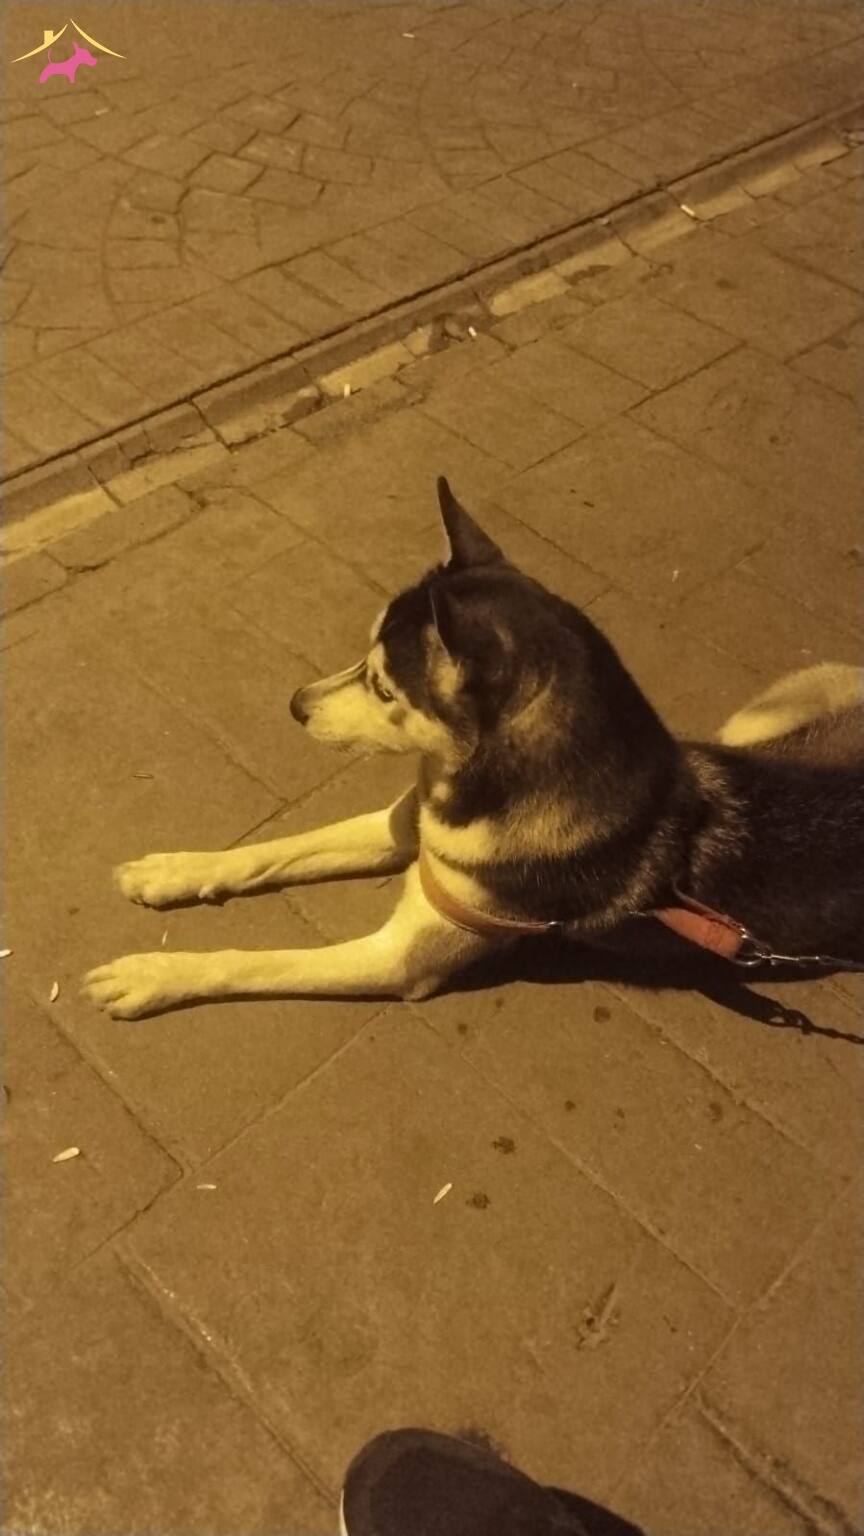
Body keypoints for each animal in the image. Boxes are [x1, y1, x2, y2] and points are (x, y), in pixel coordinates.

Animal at [84, 478, 864, 1020]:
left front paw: (155, 975)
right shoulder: (402, 827)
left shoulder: (398, 961)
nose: (296, 705)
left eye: (383, 686)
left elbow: (253, 962)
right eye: (364, 655)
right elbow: (274, 848)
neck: (466, 794)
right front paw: (175, 869)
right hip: (762, 718)